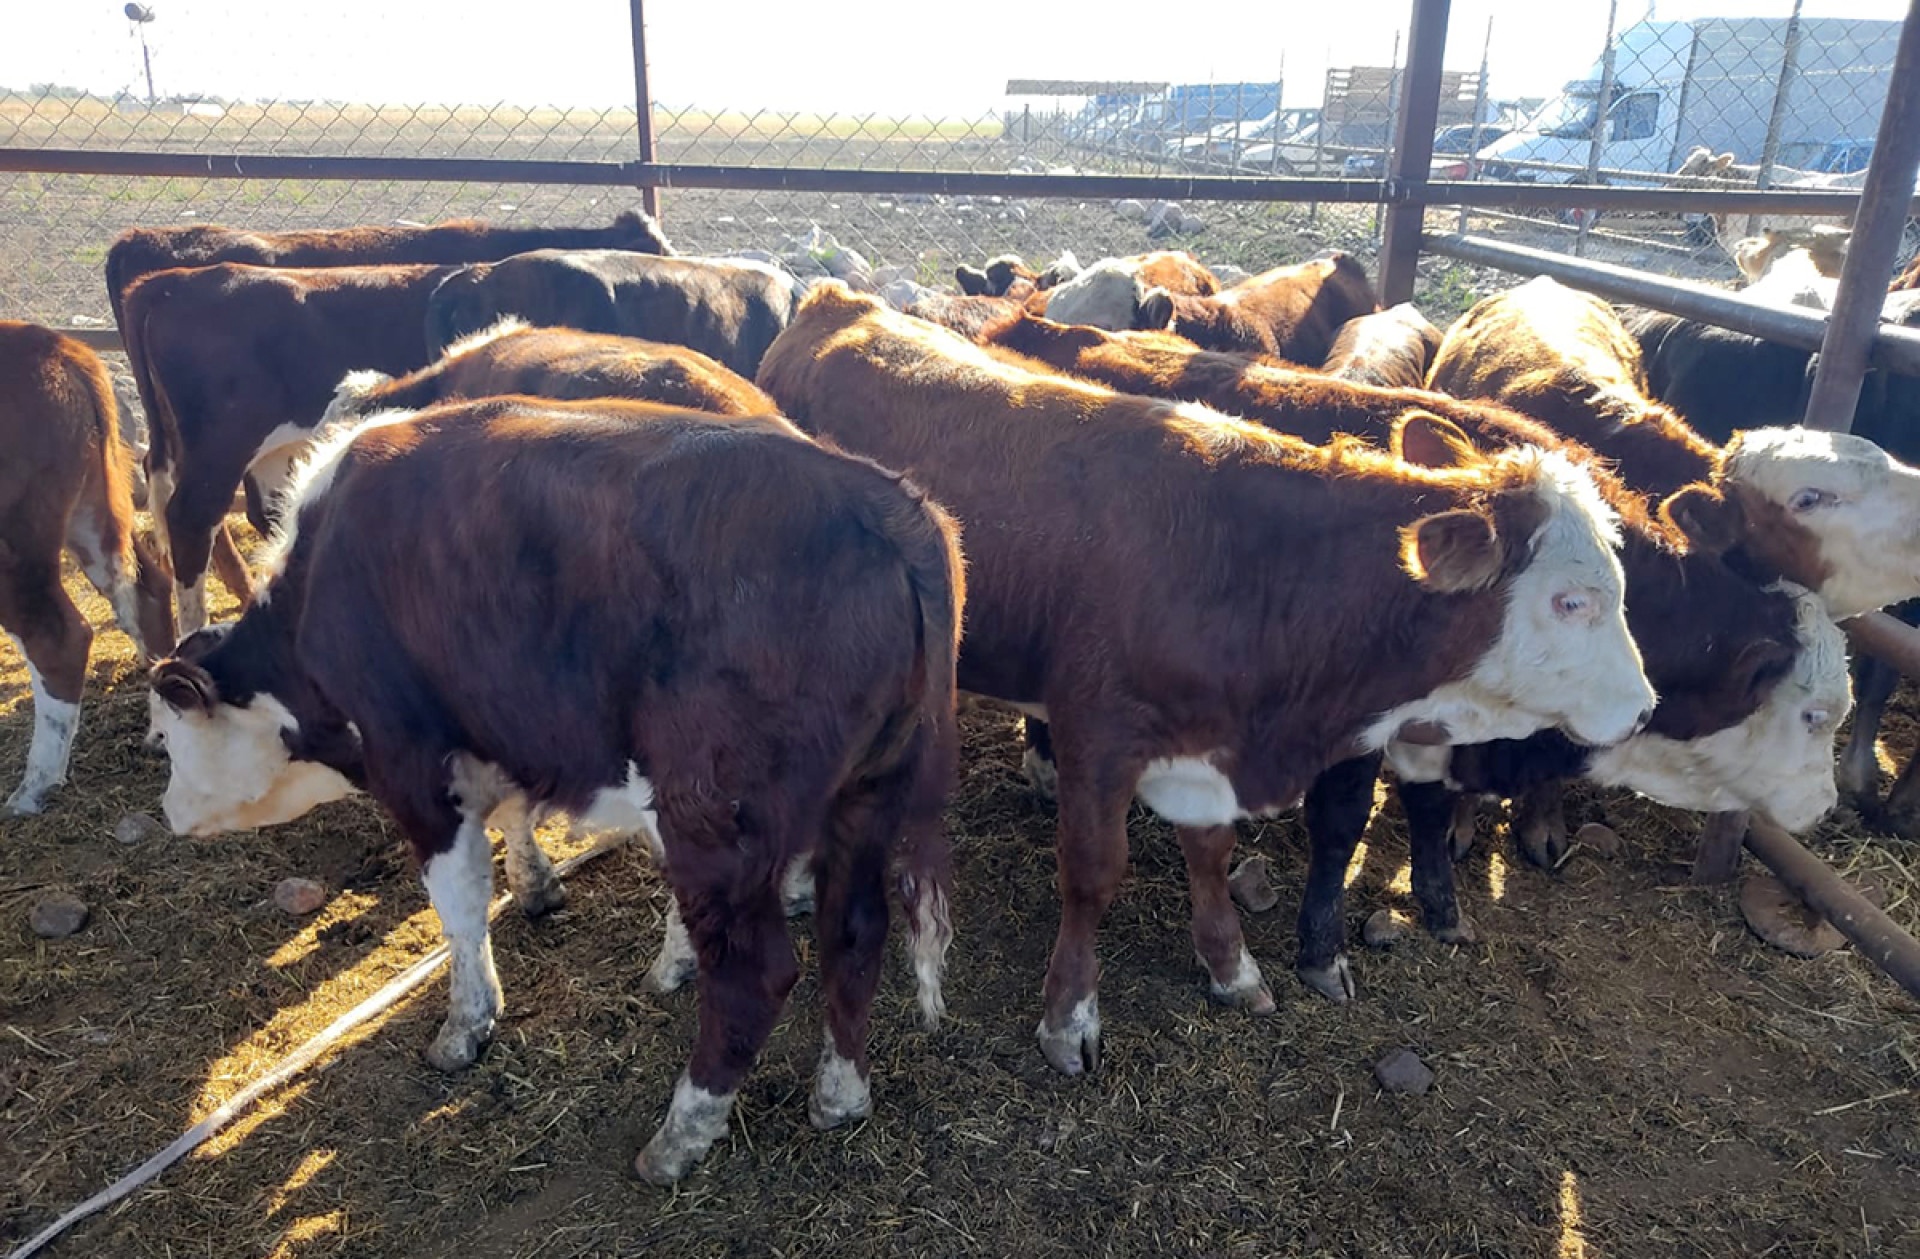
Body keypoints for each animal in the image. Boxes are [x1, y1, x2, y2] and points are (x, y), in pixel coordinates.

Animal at [1, 323, 175, 815]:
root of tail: (54, 344)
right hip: (92, 509)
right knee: (148, 589)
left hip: (17, 545)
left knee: (59, 638)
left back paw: (33, 788)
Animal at [148, 396, 963, 1184]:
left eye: (167, 730)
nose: (166, 811)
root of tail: (891, 509)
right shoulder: (502, 731)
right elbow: (513, 818)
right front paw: (541, 889)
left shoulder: (409, 758)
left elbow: (459, 902)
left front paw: (466, 1024)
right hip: (865, 798)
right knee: (854, 933)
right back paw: (841, 1093)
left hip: (714, 816)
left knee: (753, 974)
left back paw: (681, 1135)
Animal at [757, 282, 1653, 1074]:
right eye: (1571, 600)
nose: (1644, 709)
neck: (1245, 565)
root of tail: (841, 300)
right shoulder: (1099, 730)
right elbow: (1093, 872)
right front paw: (1069, 1016)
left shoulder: (1209, 745)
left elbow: (1213, 852)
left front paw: (1231, 964)